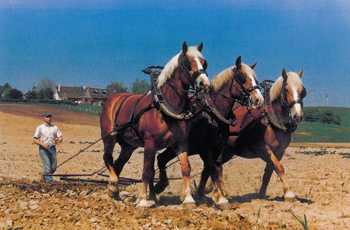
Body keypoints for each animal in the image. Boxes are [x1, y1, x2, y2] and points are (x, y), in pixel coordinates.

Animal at [100, 41, 211, 208]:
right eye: (186, 62)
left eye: (204, 63)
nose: (205, 84)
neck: (166, 106)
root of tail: (111, 99)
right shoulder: (149, 143)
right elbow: (146, 171)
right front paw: (142, 201)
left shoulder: (181, 142)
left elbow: (185, 168)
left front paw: (188, 199)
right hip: (109, 137)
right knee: (108, 158)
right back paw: (113, 186)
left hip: (128, 146)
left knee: (118, 165)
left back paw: (115, 193)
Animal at [154, 56, 264, 208]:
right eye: (242, 78)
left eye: (256, 80)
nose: (259, 100)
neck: (212, 112)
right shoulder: (204, 149)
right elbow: (211, 168)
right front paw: (219, 198)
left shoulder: (218, 147)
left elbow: (218, 169)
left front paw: (221, 194)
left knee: (161, 158)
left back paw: (159, 186)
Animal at [201, 68, 308, 201]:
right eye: (287, 89)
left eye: (302, 92)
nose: (297, 116)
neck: (271, 120)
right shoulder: (262, 149)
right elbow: (279, 167)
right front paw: (289, 193)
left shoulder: (279, 152)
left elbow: (269, 171)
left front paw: (262, 194)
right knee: (212, 167)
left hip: (227, 152)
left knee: (210, 168)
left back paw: (202, 192)